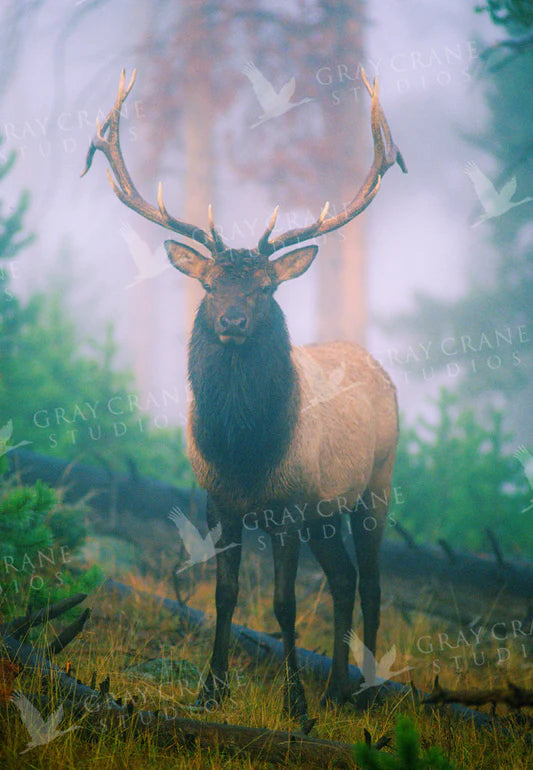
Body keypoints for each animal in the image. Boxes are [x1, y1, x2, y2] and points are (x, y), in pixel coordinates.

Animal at [82, 68, 407, 722]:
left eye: (264, 288)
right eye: (209, 285)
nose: (231, 320)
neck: (245, 452)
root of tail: (377, 368)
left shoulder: (287, 509)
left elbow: (283, 605)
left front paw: (295, 706)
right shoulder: (221, 503)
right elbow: (225, 593)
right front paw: (211, 689)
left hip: (375, 486)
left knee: (373, 581)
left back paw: (363, 691)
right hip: (325, 514)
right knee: (344, 579)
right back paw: (337, 687)